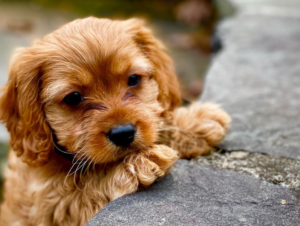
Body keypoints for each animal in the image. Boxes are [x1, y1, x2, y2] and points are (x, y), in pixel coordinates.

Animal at [0, 16, 230, 225]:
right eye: (73, 98)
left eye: (133, 79)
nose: (123, 133)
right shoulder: (53, 206)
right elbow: (88, 188)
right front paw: (136, 164)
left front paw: (194, 124)